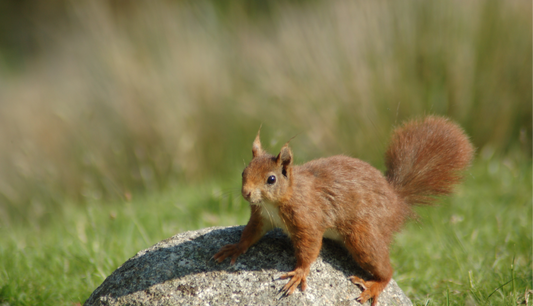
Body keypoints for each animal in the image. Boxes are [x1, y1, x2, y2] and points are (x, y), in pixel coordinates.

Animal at [212, 116, 474, 304]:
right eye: (243, 172)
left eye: (271, 179)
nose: (246, 193)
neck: (275, 203)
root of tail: (397, 202)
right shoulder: (261, 217)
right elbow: (250, 234)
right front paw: (235, 247)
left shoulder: (307, 218)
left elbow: (310, 247)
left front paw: (299, 273)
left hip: (362, 236)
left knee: (386, 269)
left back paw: (374, 286)